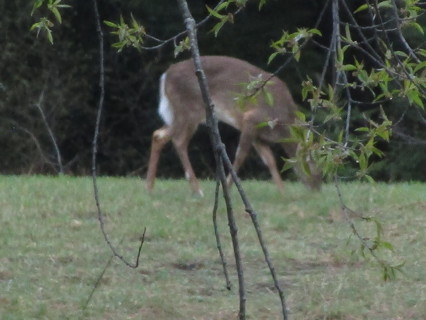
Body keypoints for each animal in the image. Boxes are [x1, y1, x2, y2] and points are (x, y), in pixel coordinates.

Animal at [145, 56, 322, 196]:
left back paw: (150, 187)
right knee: (179, 141)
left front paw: (282, 191)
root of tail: (165, 76)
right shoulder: (251, 119)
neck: (283, 122)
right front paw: (229, 187)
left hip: (179, 113)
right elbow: (240, 155)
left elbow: (269, 159)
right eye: (310, 163)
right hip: (189, 110)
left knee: (158, 134)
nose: (316, 188)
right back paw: (197, 190)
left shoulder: (258, 135)